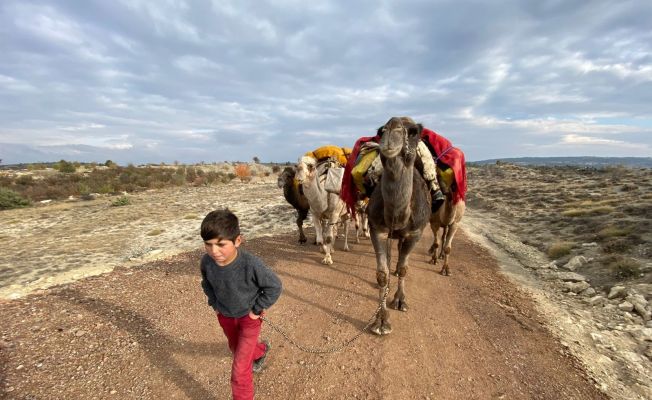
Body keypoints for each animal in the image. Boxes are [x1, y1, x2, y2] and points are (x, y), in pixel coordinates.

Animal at [366, 117, 432, 336]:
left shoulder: (416, 232)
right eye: (380, 130)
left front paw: (400, 300)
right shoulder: (376, 228)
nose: (391, 131)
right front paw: (381, 321)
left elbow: (404, 269)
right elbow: (381, 274)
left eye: (413, 132)